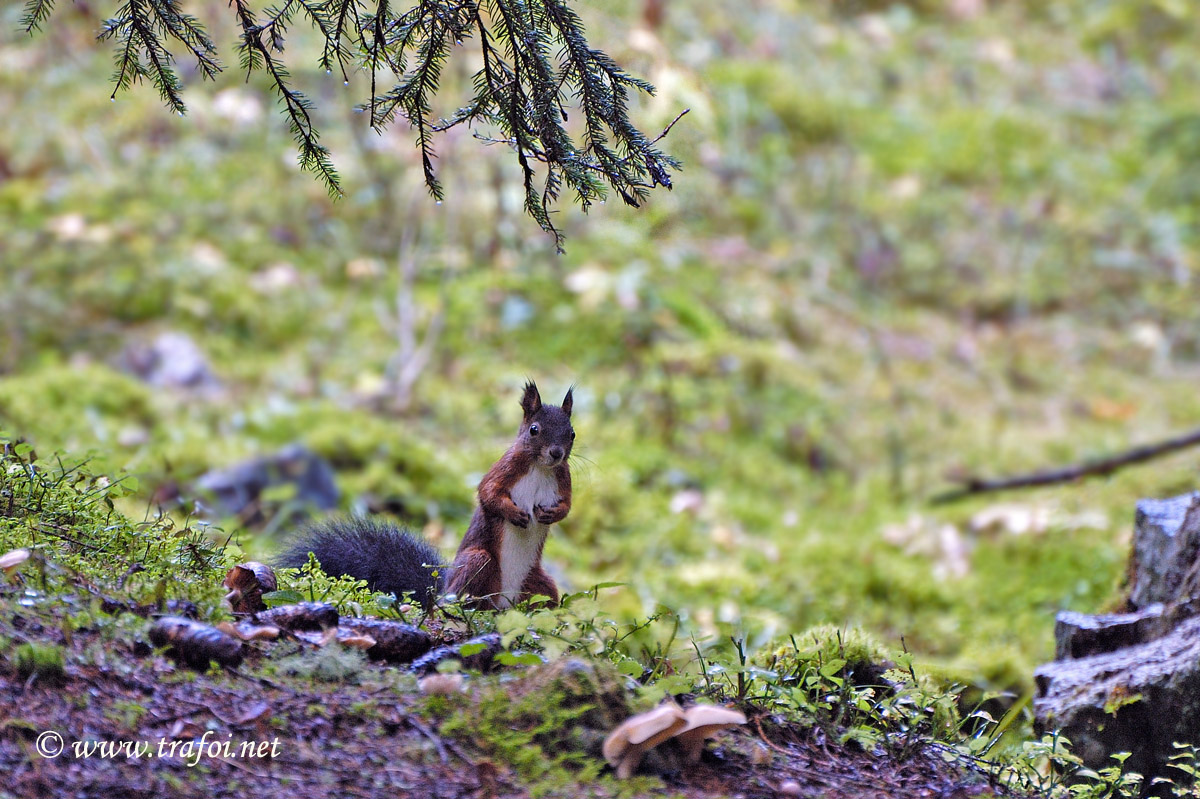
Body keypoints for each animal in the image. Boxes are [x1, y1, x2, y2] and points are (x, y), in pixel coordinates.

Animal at [277, 381, 575, 610]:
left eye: (571, 433)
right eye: (534, 430)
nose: (556, 453)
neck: (539, 467)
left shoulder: (563, 479)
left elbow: (567, 506)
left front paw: (552, 514)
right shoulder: (504, 469)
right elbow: (487, 493)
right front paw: (514, 513)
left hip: (539, 583)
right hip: (478, 561)